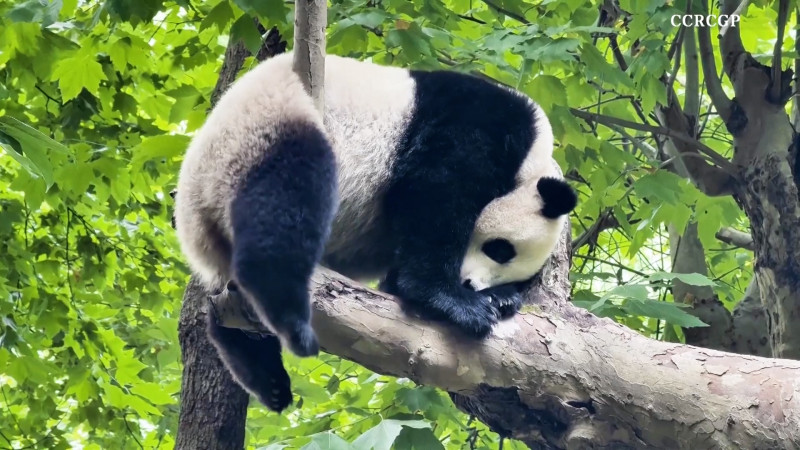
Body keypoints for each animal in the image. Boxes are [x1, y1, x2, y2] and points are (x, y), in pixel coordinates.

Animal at [173, 53, 577, 412]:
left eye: (508, 269)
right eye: (500, 249)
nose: (470, 285)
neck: (530, 162)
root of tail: (193, 214)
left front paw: (501, 299)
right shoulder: (475, 126)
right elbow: (436, 194)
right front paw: (456, 303)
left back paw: (261, 370)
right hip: (261, 133)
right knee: (287, 201)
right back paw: (287, 318)